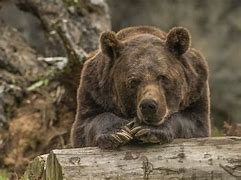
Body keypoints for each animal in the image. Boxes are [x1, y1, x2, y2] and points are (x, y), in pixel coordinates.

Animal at [70, 25, 210, 149]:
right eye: (133, 81)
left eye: (163, 77)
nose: (149, 105)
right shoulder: (94, 90)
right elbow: (87, 123)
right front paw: (118, 132)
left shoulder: (197, 88)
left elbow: (194, 122)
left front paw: (148, 130)